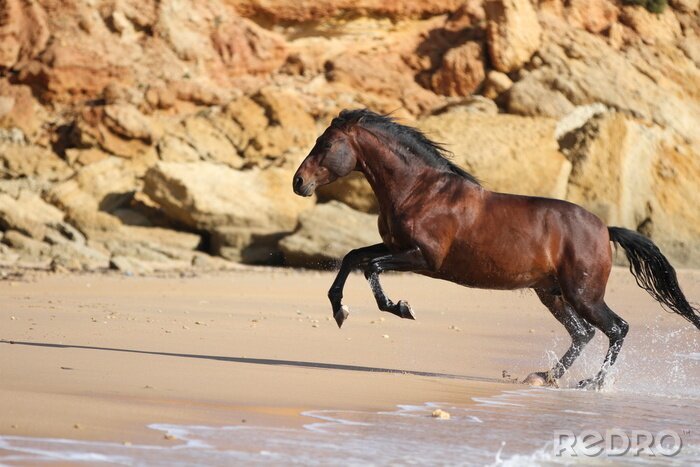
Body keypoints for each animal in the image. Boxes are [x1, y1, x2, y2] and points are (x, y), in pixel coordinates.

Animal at [292, 108, 700, 389]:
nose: (299, 183)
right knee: (582, 333)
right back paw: (543, 376)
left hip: (583, 293)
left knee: (616, 328)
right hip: (551, 293)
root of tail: (605, 228)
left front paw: (400, 308)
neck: (421, 190)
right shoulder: (396, 246)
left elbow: (372, 267)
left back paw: (592, 383)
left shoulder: (423, 257)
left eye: (325, 145)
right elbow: (353, 257)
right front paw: (339, 309)